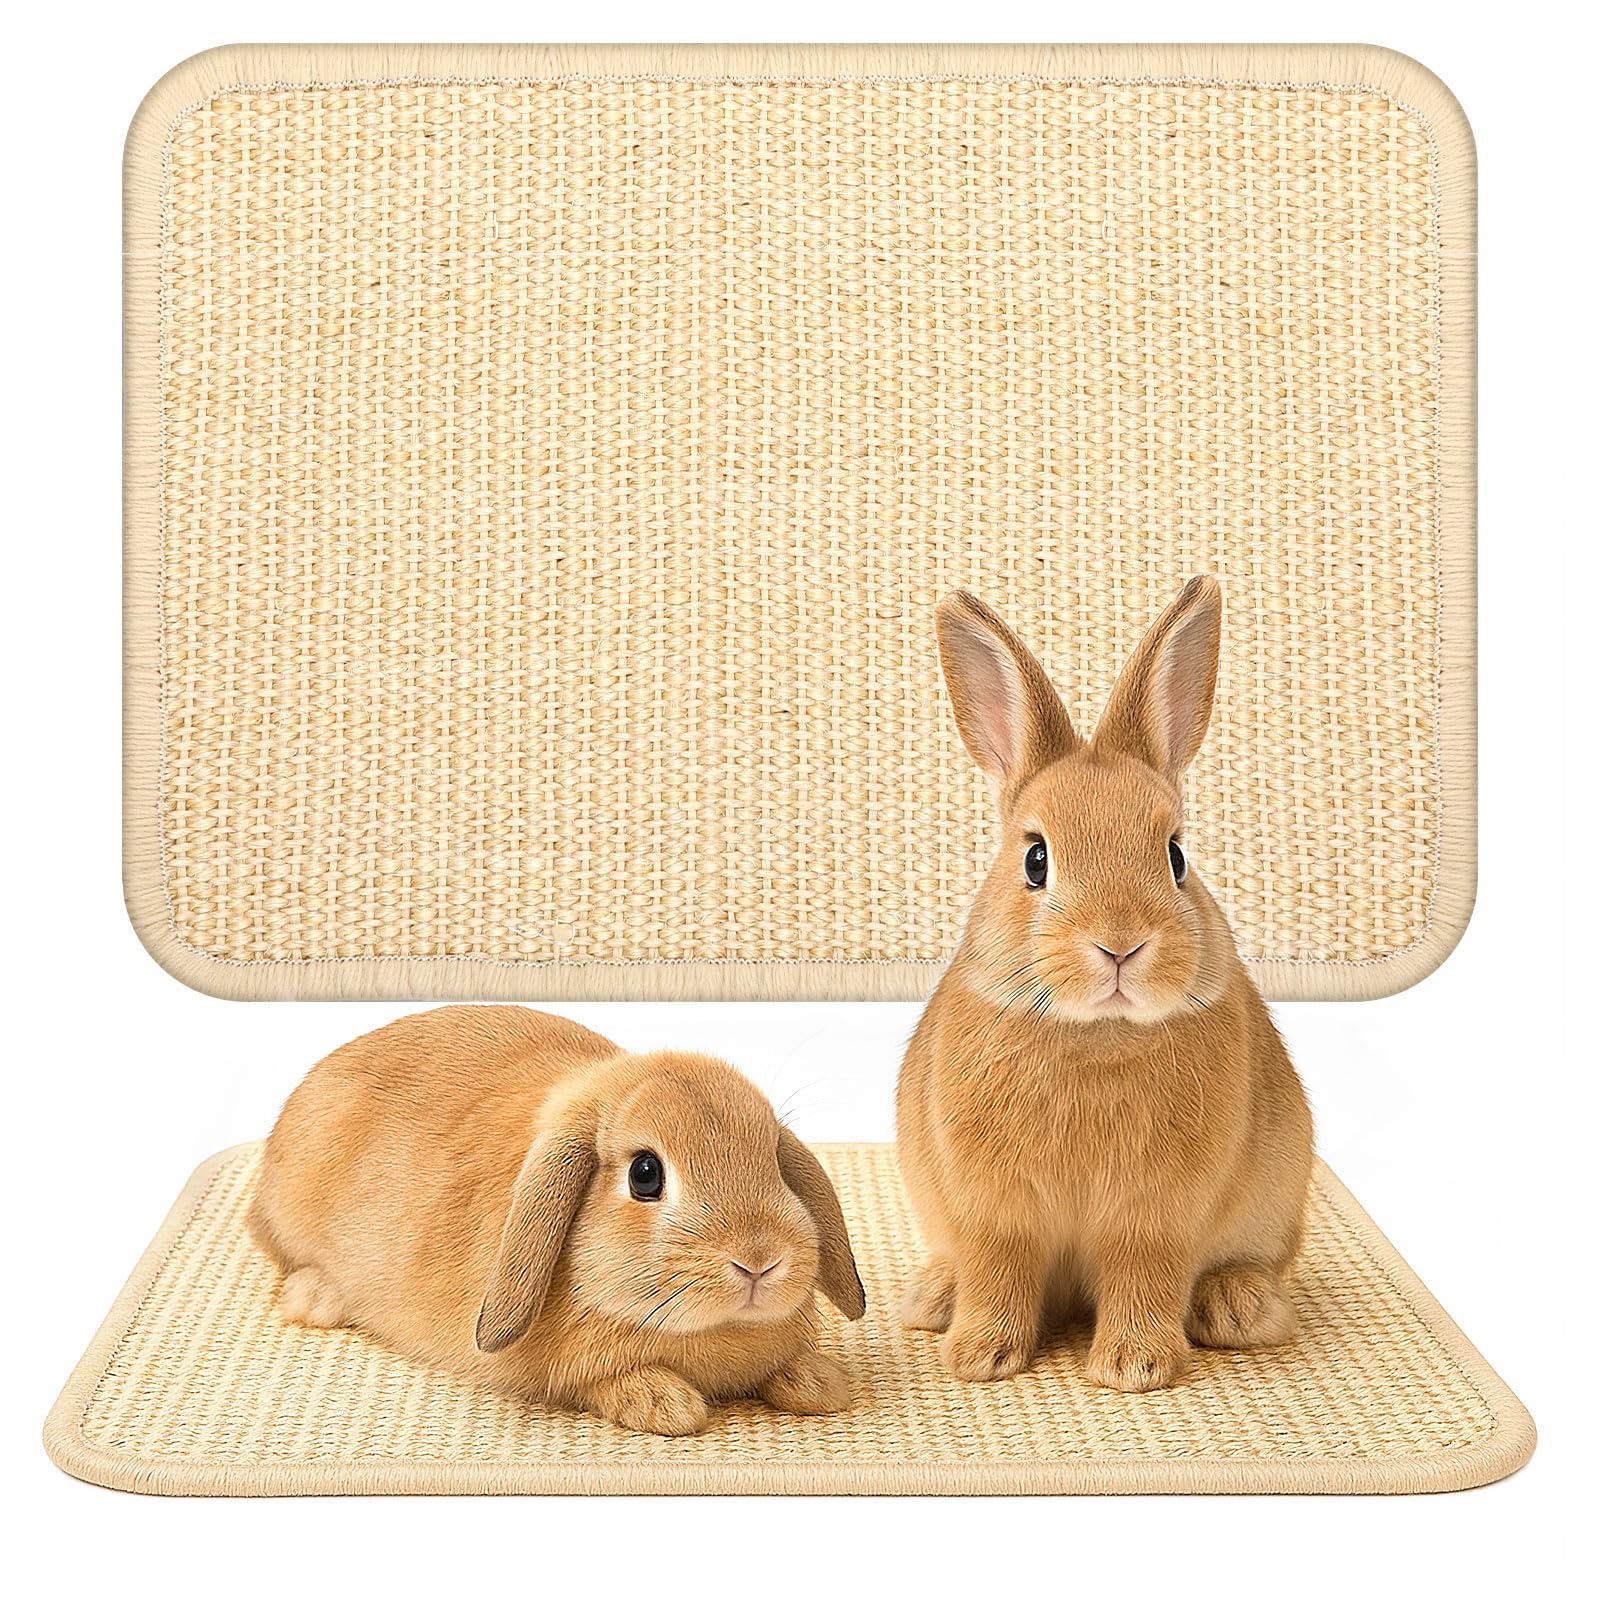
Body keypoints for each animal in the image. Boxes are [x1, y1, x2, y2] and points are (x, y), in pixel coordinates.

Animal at [249, 1005, 866, 1436]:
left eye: (774, 1162)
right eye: (646, 1174)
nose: (759, 1261)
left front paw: (819, 1382)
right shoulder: (575, 1375)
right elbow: (608, 1384)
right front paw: (667, 1404)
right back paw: (315, 1297)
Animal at [897, 577, 1314, 1393]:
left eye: (1176, 855)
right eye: (1036, 859)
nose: (1120, 944)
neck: (1095, 1035)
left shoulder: (1156, 1216)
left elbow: (1142, 1274)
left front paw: (1132, 1368)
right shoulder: (994, 1211)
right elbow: (999, 1269)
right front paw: (979, 1359)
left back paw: (1237, 1306)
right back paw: (934, 1297)